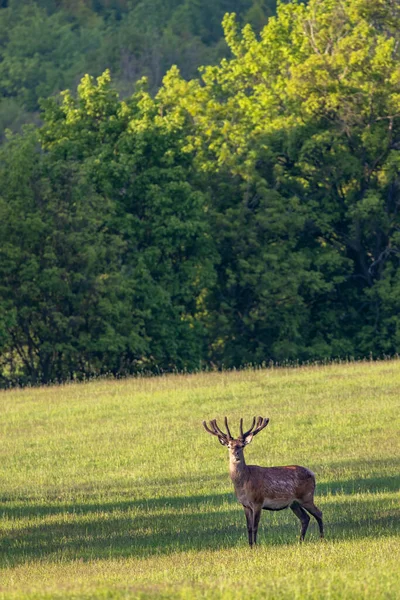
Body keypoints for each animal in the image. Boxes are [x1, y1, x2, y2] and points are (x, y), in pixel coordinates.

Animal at [203, 414, 324, 548]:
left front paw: (255, 546)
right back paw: (300, 540)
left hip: (306, 496)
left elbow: (255, 526)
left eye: (242, 445)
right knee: (305, 518)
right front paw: (250, 545)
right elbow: (248, 527)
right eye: (229, 446)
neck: (243, 484)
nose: (236, 455)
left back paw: (321, 538)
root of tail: (312, 474)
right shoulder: (245, 505)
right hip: (294, 503)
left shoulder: (258, 501)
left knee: (319, 513)